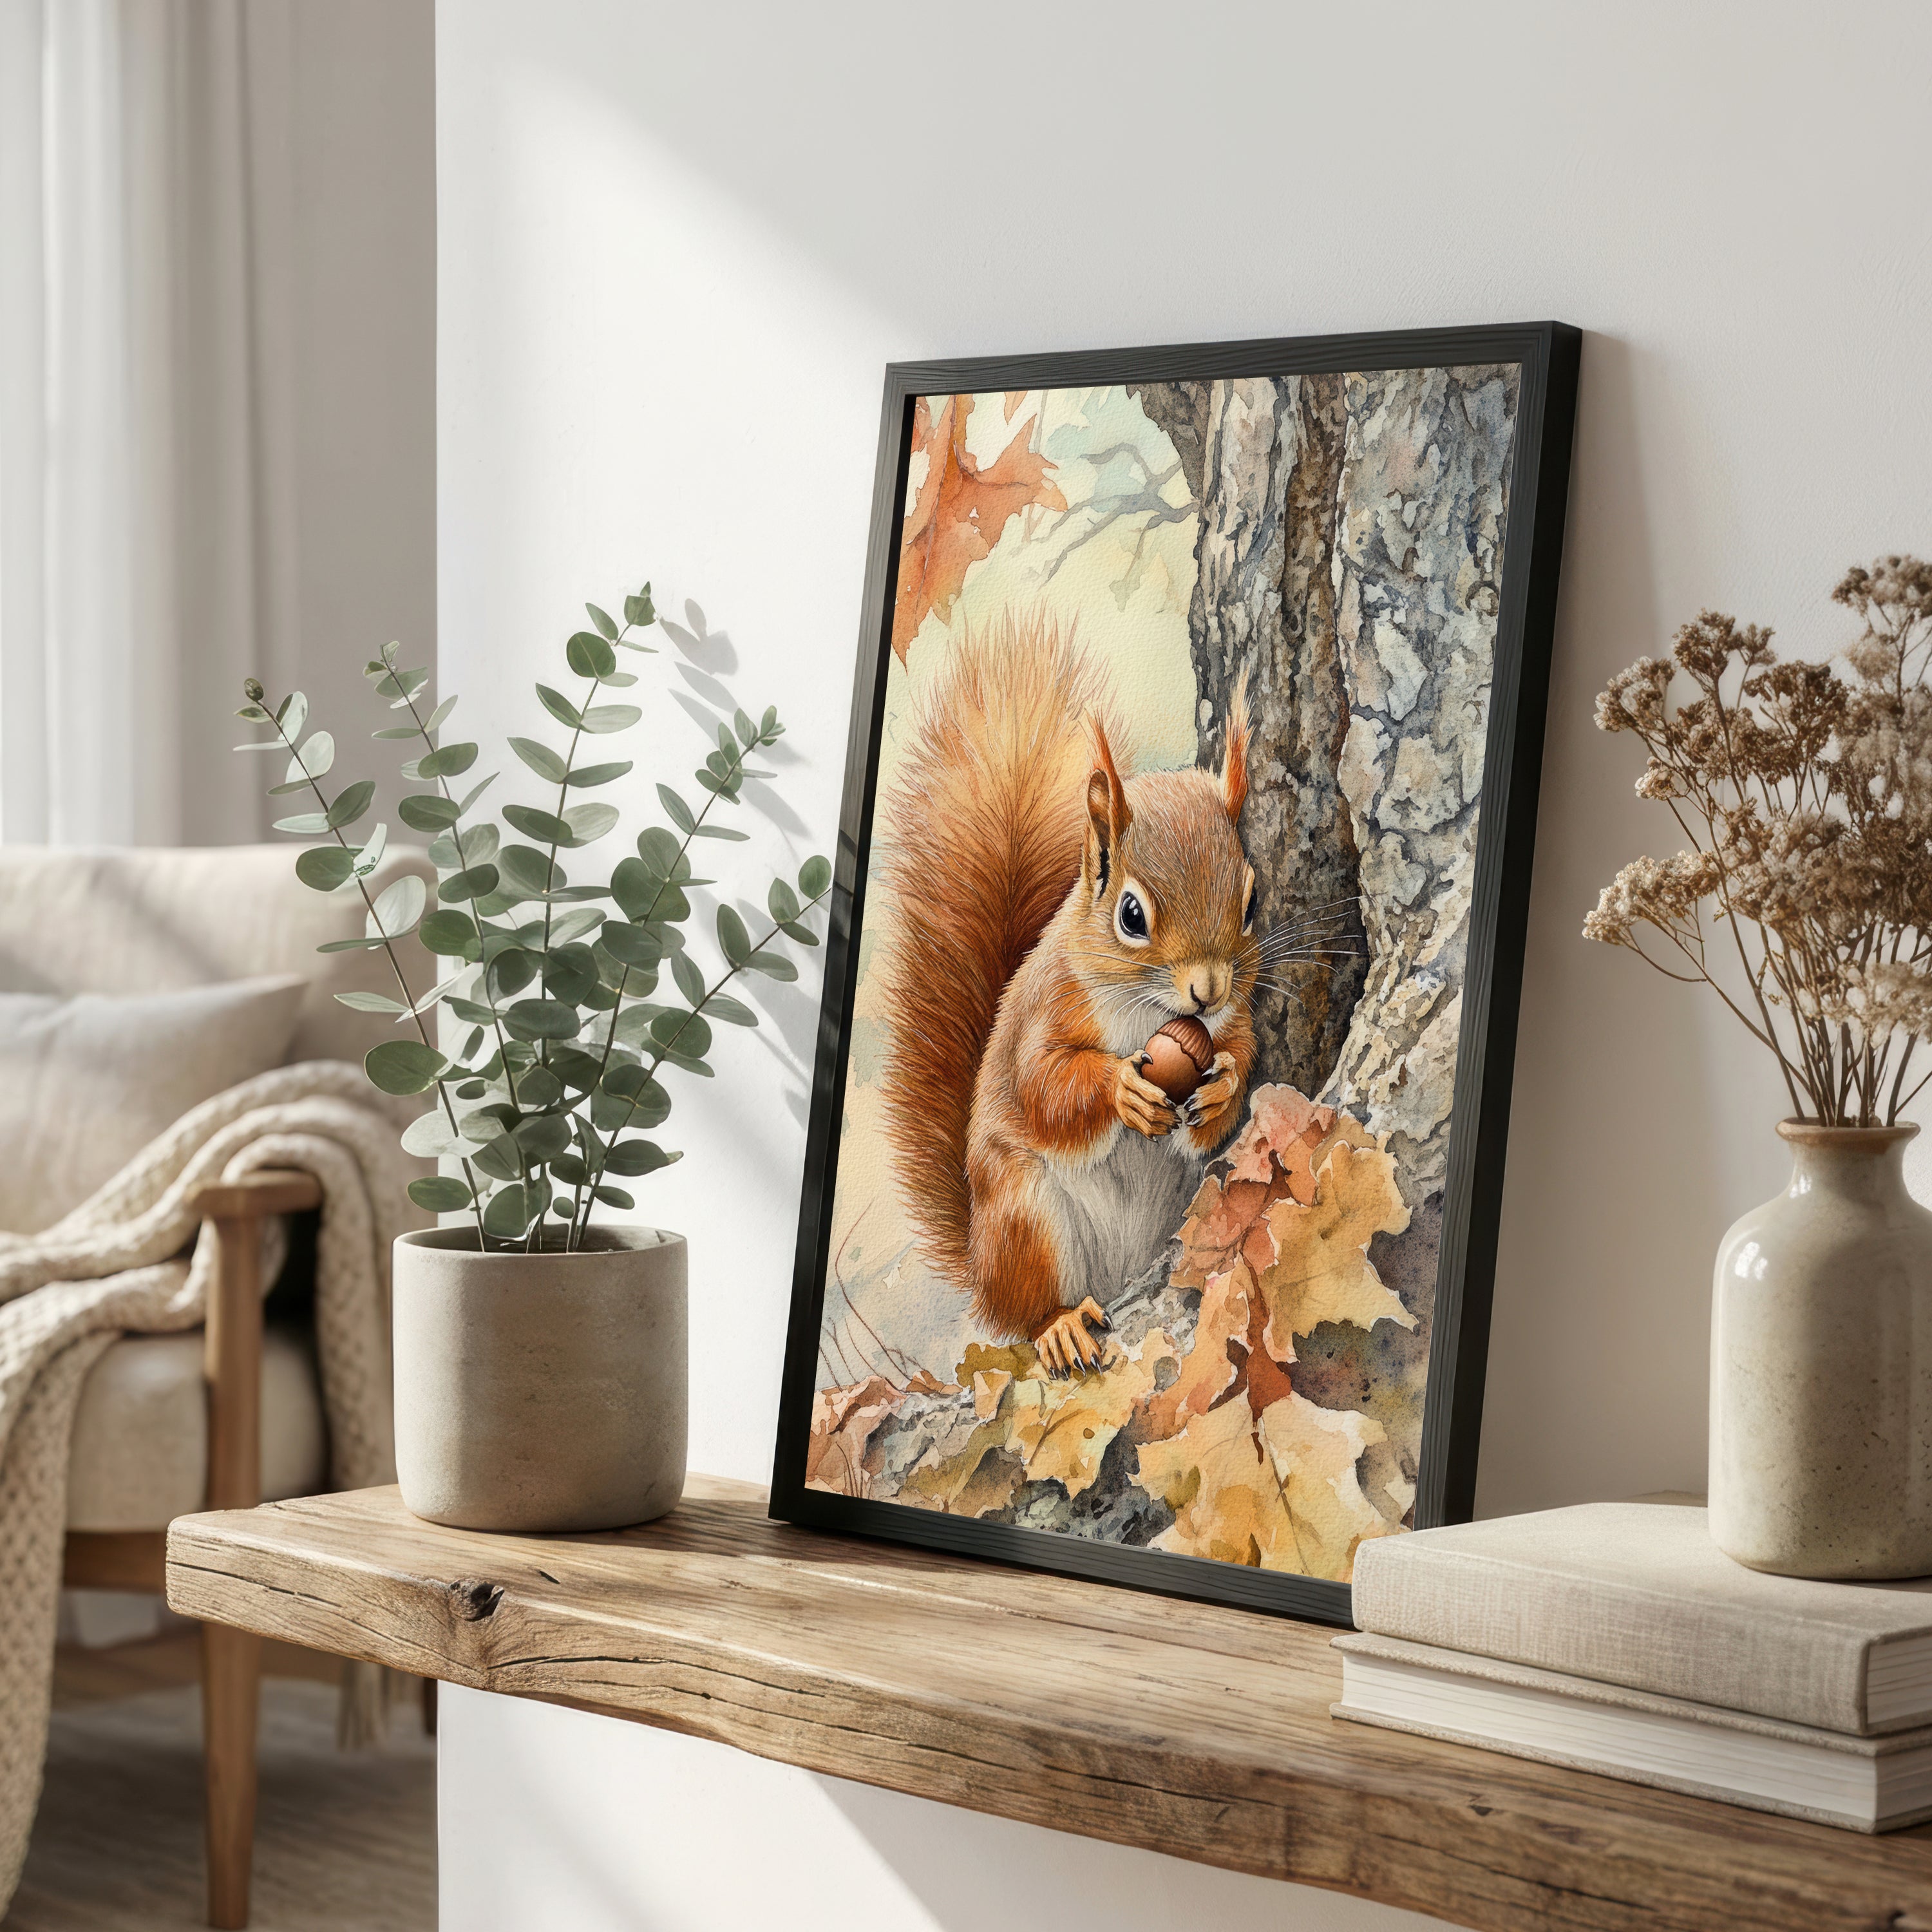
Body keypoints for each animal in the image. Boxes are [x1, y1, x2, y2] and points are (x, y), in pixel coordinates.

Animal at [879, 612, 1258, 1381]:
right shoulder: (1049, 1008)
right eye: (1132, 915)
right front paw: (1123, 1091)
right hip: (1025, 1218)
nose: (1206, 992)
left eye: (1251, 902)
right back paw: (1056, 1326)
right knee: (1025, 1311)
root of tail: (982, 1266)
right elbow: (1044, 1085)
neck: (1149, 1013)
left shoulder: (1241, 1007)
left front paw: (1223, 1087)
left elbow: (1244, 1045)